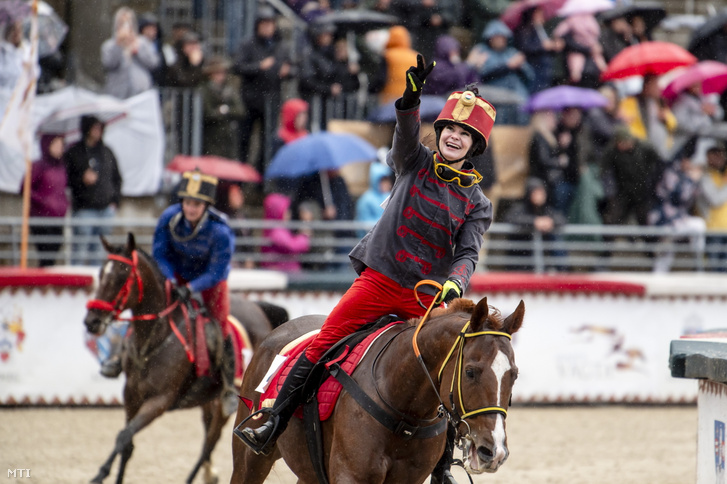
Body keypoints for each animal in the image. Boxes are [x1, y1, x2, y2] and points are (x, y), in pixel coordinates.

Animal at [82, 233, 282, 482]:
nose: (92, 321)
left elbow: (124, 436)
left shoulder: (160, 400)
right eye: (101, 274)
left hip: (228, 403)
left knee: (210, 443)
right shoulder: (131, 395)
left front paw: (100, 474)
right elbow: (127, 444)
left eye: (122, 276)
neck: (155, 339)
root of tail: (258, 308)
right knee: (208, 439)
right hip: (208, 400)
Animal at [233, 296, 524, 482]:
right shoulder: (351, 476)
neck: (405, 413)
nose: (493, 452)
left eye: (514, 375)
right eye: (470, 371)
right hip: (249, 461)